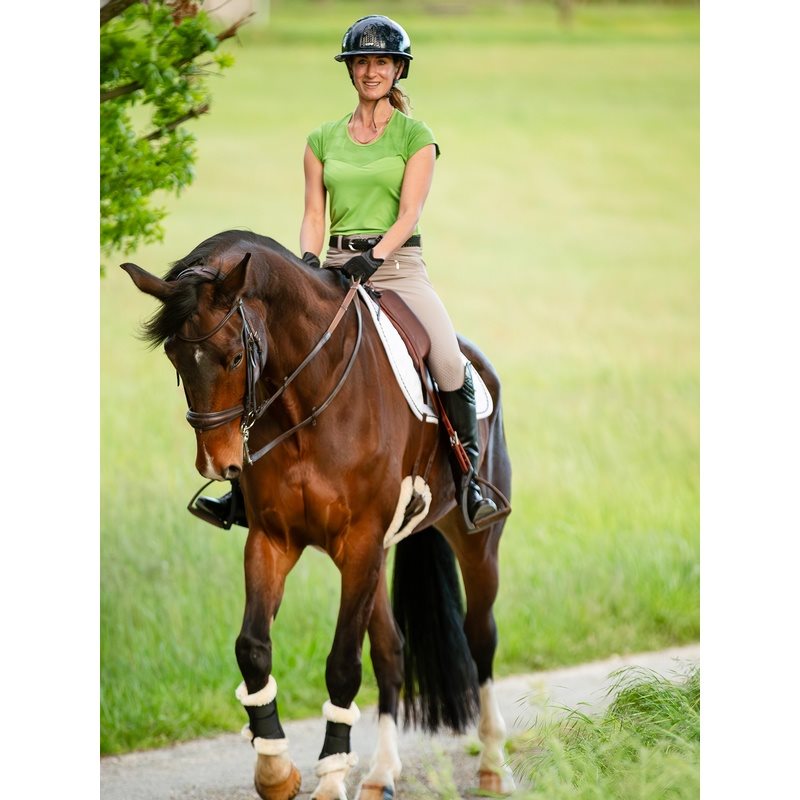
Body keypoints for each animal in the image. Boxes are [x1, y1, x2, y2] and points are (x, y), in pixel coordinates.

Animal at [122, 230, 515, 800]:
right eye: (174, 356)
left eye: (234, 356)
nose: (218, 464)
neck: (305, 400)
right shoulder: (273, 539)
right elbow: (253, 648)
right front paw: (275, 769)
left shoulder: (359, 542)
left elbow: (343, 665)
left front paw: (329, 778)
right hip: (378, 557)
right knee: (391, 654)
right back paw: (380, 773)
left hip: (475, 541)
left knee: (480, 636)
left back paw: (492, 765)